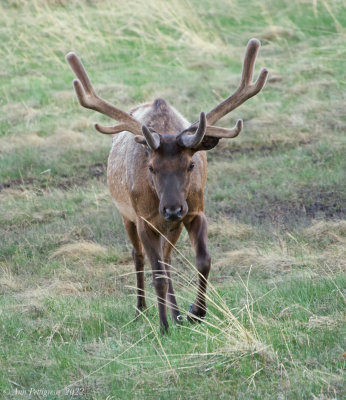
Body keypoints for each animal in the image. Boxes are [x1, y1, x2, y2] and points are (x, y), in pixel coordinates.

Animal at [66, 38, 268, 332]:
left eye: (191, 164)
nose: (172, 209)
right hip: (127, 215)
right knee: (138, 256)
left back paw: (177, 315)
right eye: (151, 167)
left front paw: (195, 311)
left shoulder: (195, 211)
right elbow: (157, 275)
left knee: (168, 258)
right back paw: (141, 309)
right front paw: (163, 328)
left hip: (171, 227)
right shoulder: (144, 220)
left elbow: (203, 261)